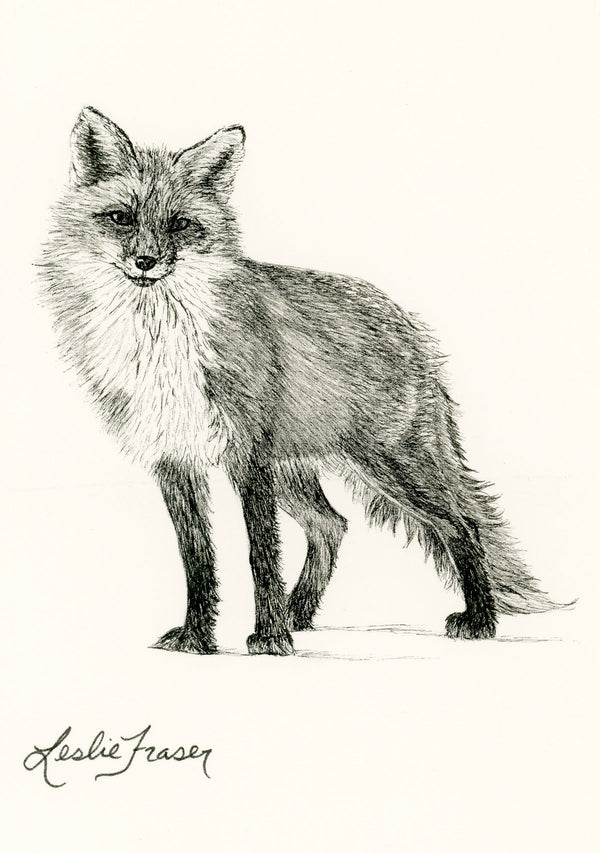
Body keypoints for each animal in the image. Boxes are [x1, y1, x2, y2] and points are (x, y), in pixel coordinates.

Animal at [38, 106, 567, 655]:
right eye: (121, 217)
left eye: (181, 224)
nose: (146, 261)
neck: (158, 341)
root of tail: (407, 324)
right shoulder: (175, 460)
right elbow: (198, 560)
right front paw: (197, 636)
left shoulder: (246, 457)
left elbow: (260, 554)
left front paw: (269, 637)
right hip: (296, 471)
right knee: (332, 525)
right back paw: (301, 612)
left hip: (391, 464)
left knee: (460, 524)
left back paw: (479, 620)